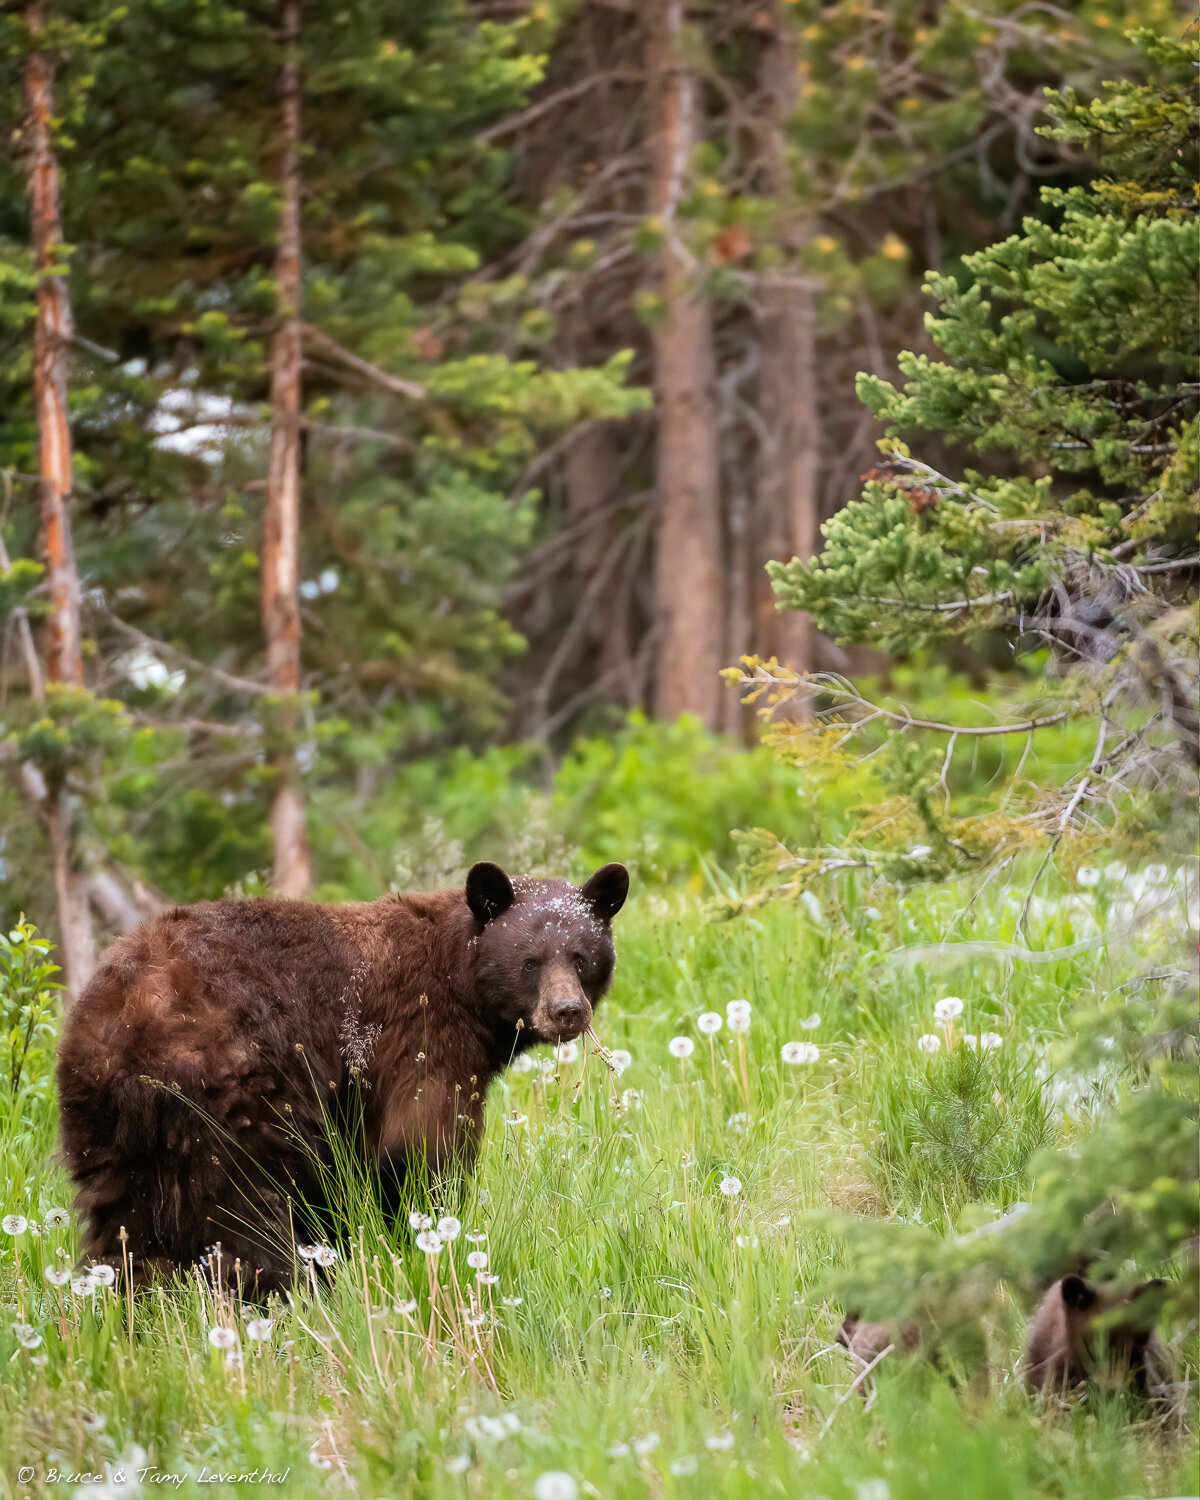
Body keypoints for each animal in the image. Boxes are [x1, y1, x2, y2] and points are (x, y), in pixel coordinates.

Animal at [57, 860, 628, 1292]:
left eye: (581, 956)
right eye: (530, 961)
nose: (567, 1011)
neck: (458, 977)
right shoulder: (419, 1039)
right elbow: (421, 1144)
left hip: (109, 1133)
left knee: (122, 1225)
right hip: (230, 1097)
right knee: (245, 1209)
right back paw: (286, 1291)